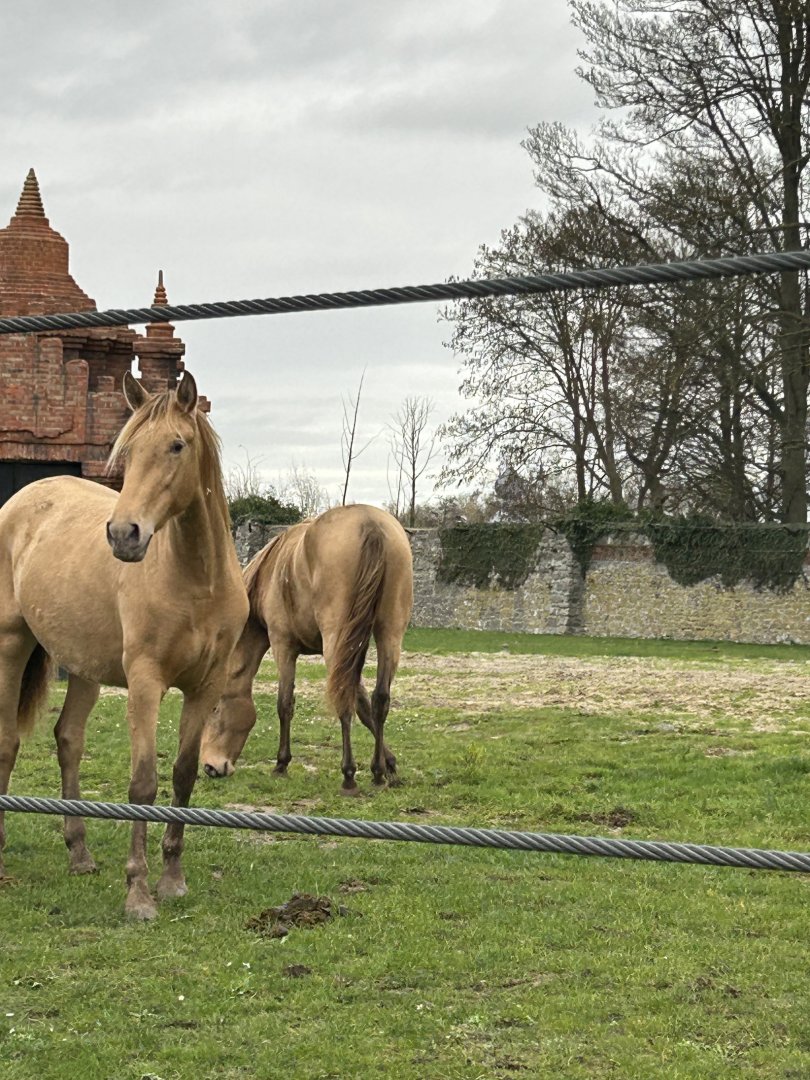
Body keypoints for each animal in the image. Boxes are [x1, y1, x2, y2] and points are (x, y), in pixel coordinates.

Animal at [0, 371, 248, 920]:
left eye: (177, 445)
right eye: (129, 451)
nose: (123, 534)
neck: (197, 582)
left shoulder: (205, 687)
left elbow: (182, 775)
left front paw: (173, 879)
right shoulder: (145, 683)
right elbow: (143, 783)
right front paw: (138, 892)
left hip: (84, 668)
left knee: (68, 740)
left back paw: (80, 854)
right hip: (10, 646)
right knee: (7, 740)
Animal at [201, 504, 413, 793]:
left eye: (214, 708)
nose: (210, 767)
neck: (270, 574)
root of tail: (370, 523)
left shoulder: (283, 645)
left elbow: (285, 704)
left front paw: (281, 764)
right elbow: (364, 704)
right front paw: (388, 764)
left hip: (338, 639)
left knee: (343, 700)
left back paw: (348, 775)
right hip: (388, 633)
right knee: (380, 699)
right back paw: (377, 773)